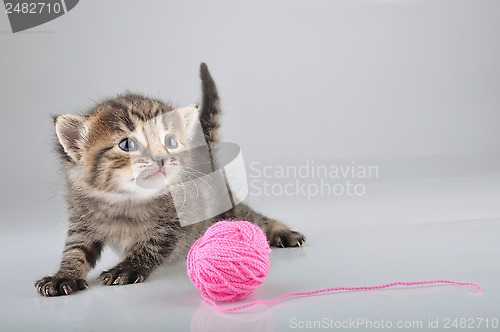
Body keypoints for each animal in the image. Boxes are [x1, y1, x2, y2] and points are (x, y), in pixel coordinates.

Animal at [36, 63, 304, 296]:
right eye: (127, 144)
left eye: (170, 142)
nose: (162, 158)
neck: (126, 201)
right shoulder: (81, 222)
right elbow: (75, 249)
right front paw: (63, 276)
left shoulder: (172, 223)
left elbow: (150, 246)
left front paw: (127, 268)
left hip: (228, 210)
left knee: (255, 219)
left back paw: (284, 233)